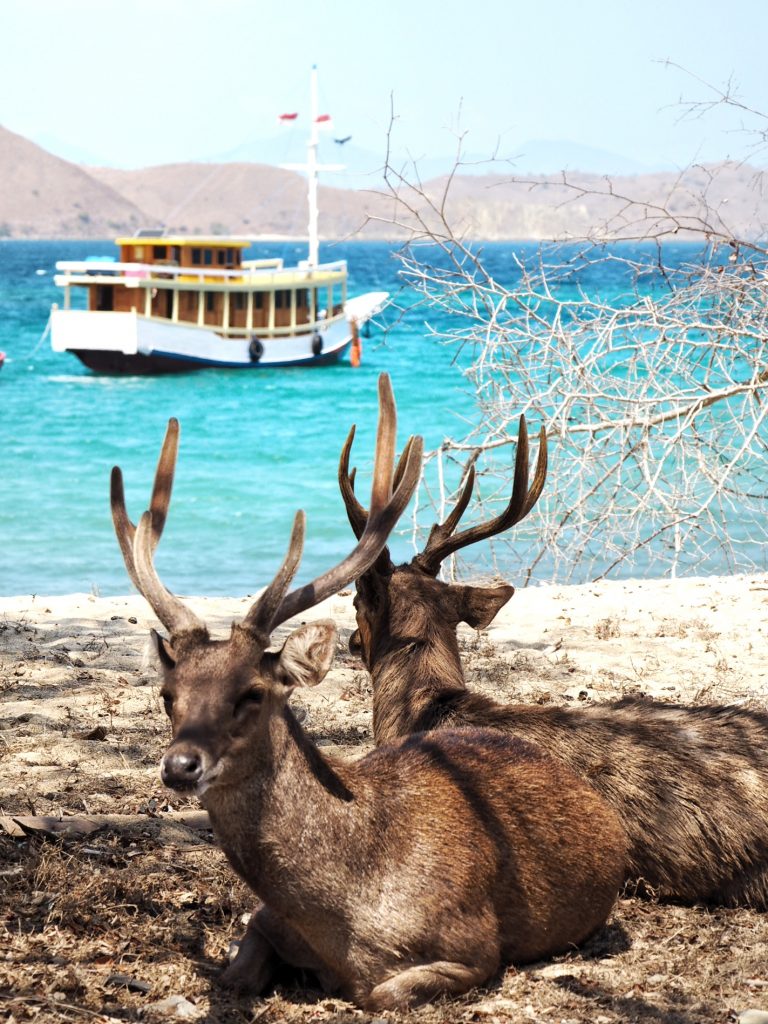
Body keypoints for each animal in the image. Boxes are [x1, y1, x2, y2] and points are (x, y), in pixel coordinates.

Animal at [111, 374, 626, 1007]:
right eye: (168, 694)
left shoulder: (475, 946)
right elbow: (236, 971)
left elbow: (380, 993)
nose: (180, 765)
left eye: (252, 693)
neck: (344, 913)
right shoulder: (265, 919)